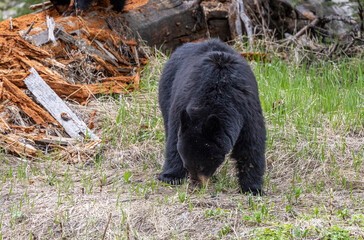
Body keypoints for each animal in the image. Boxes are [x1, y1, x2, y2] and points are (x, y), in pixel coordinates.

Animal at [158, 38, 266, 194]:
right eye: (186, 165)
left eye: (202, 166)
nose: (196, 186)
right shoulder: (183, 103)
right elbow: (174, 138)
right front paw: (171, 176)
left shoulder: (247, 109)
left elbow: (251, 145)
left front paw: (253, 188)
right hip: (166, 88)